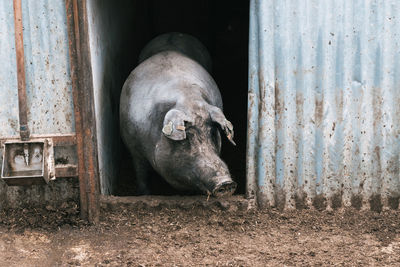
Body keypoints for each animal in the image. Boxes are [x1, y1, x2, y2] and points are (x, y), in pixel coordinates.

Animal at [120, 32, 236, 198]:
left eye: (213, 133)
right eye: (187, 138)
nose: (225, 182)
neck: (188, 99)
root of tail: (172, 33)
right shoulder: (133, 147)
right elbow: (141, 173)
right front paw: (145, 195)